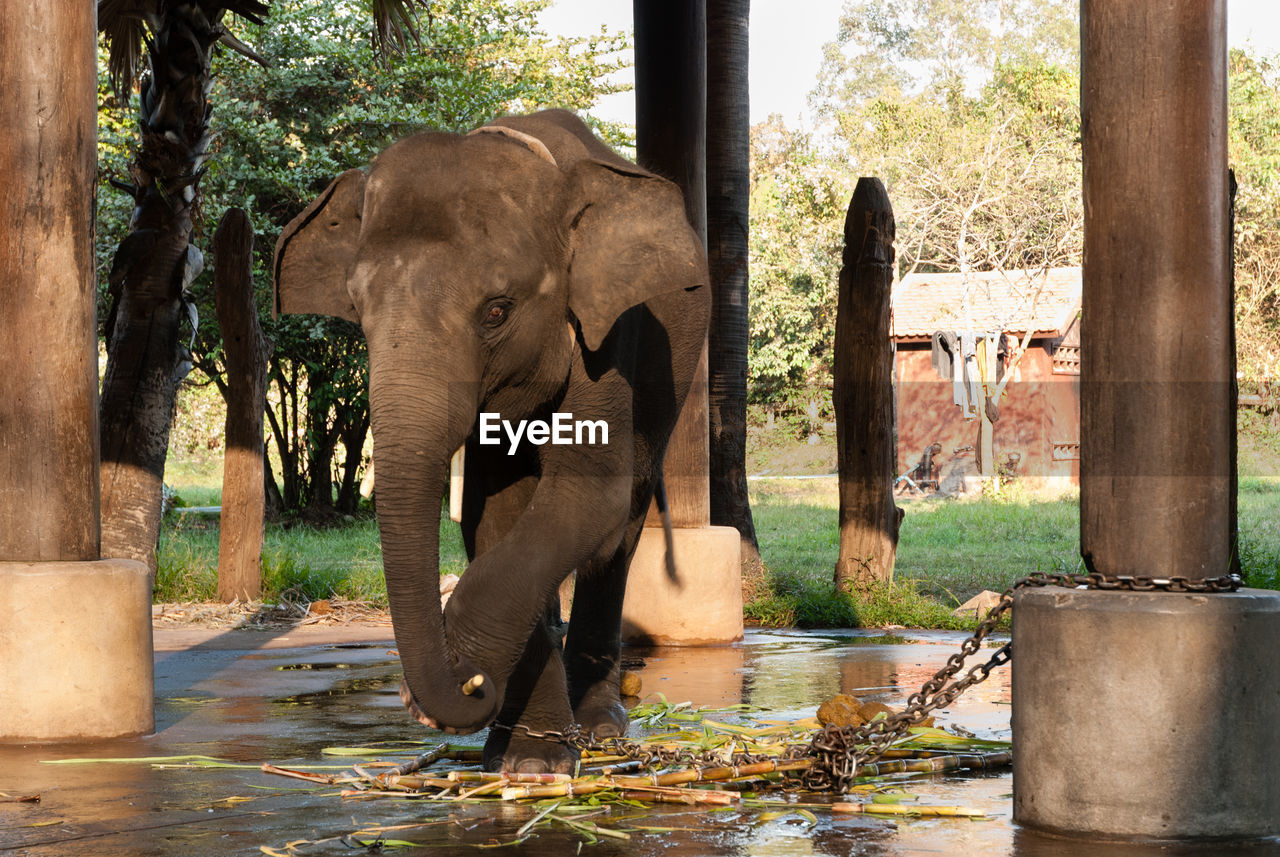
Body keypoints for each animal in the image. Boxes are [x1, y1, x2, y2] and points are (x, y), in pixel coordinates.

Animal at [273, 107, 711, 772]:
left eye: (497, 312)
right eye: (358, 310)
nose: (469, 686)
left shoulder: (607, 331)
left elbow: (586, 494)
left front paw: (470, 673)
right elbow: (492, 511)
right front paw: (525, 760)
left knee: (620, 525)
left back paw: (601, 728)